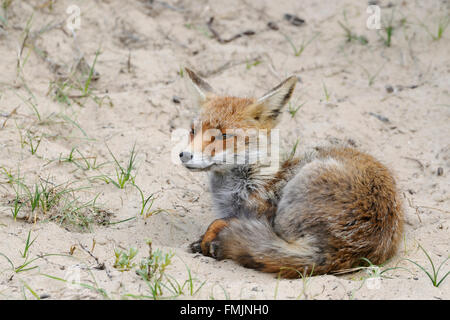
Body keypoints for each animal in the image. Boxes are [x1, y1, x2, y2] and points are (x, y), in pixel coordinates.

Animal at [179, 68, 404, 278]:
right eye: (193, 131)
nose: (184, 155)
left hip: (300, 188)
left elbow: (223, 222)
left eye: (223, 136)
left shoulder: (265, 212)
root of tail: (339, 251)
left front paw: (209, 239)